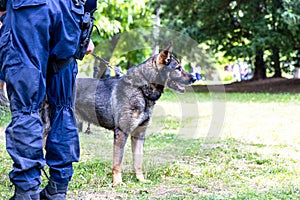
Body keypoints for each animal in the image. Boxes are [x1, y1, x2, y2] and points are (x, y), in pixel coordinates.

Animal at [75, 44, 197, 186]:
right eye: (178, 68)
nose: (194, 78)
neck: (141, 89)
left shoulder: (139, 135)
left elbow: (138, 161)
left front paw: (140, 179)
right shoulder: (122, 133)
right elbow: (118, 162)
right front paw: (117, 182)